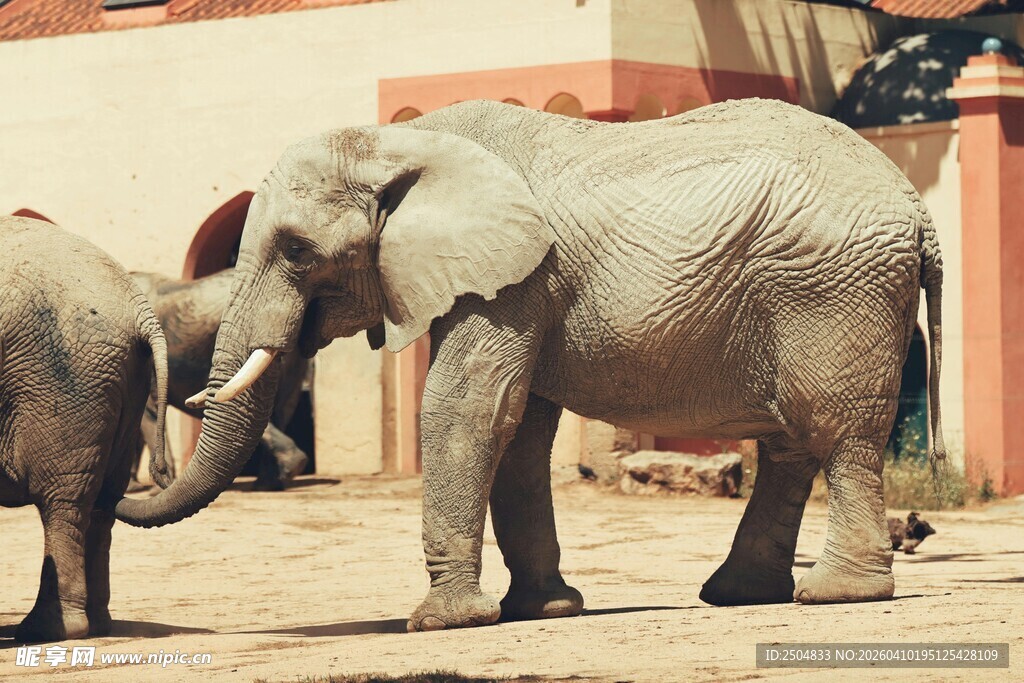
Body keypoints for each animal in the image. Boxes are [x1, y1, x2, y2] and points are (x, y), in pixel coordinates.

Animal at [0, 216, 169, 642]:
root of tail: (137, 308)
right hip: (120, 379)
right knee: (101, 501)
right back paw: (98, 624)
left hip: (65, 377)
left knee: (63, 501)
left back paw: (47, 631)